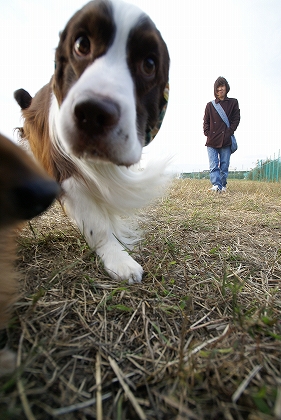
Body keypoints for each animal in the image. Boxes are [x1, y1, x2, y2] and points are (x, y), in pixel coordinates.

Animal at [14, 0, 168, 286]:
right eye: (81, 45)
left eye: (149, 64)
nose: (94, 113)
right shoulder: (65, 167)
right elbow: (96, 223)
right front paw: (119, 259)